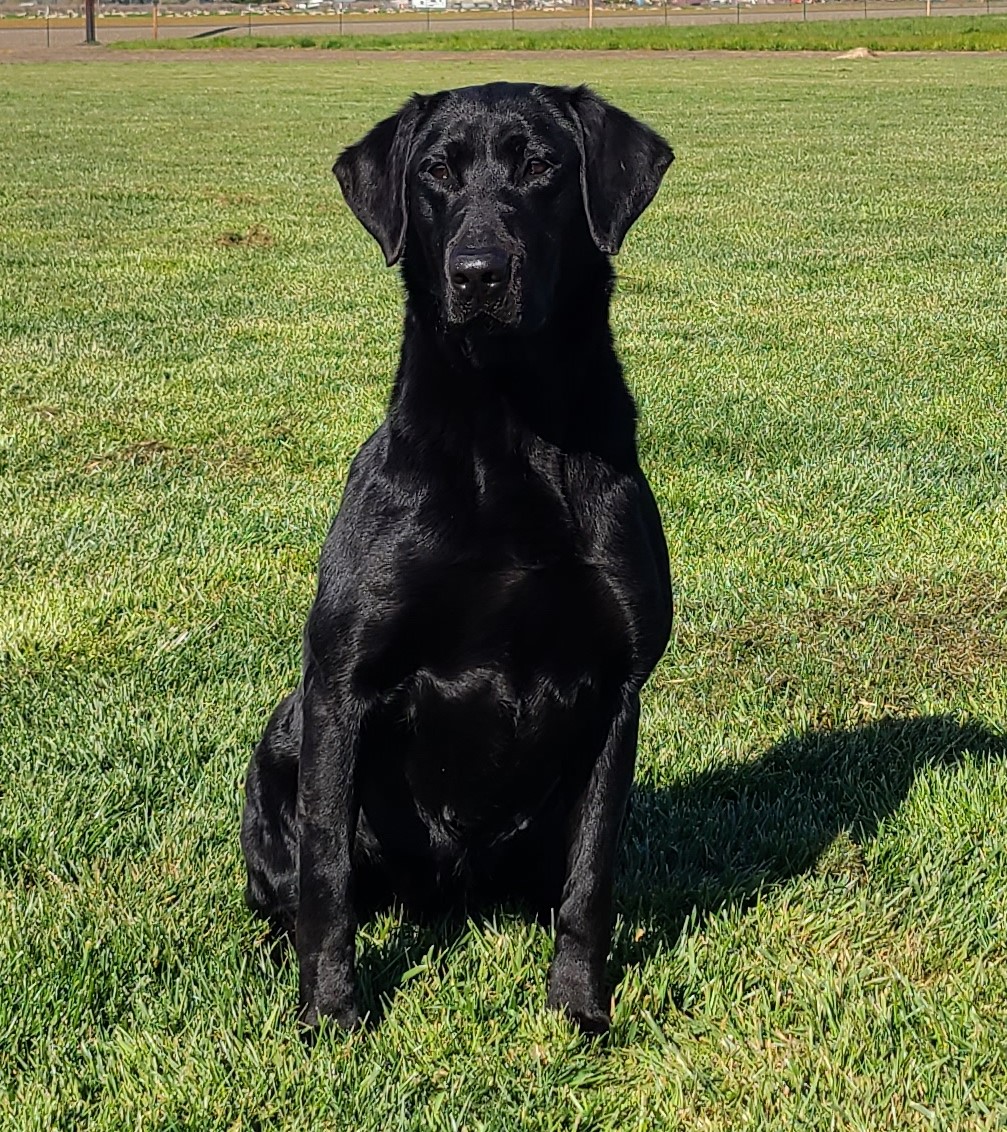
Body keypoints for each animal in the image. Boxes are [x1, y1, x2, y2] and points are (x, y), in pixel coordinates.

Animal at [239, 82, 669, 1036]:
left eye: (542, 166)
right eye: (436, 172)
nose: (478, 273)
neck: (509, 432)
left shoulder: (616, 695)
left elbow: (592, 877)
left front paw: (577, 1009)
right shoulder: (341, 685)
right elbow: (326, 878)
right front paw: (330, 1016)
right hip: (278, 744)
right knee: (290, 890)